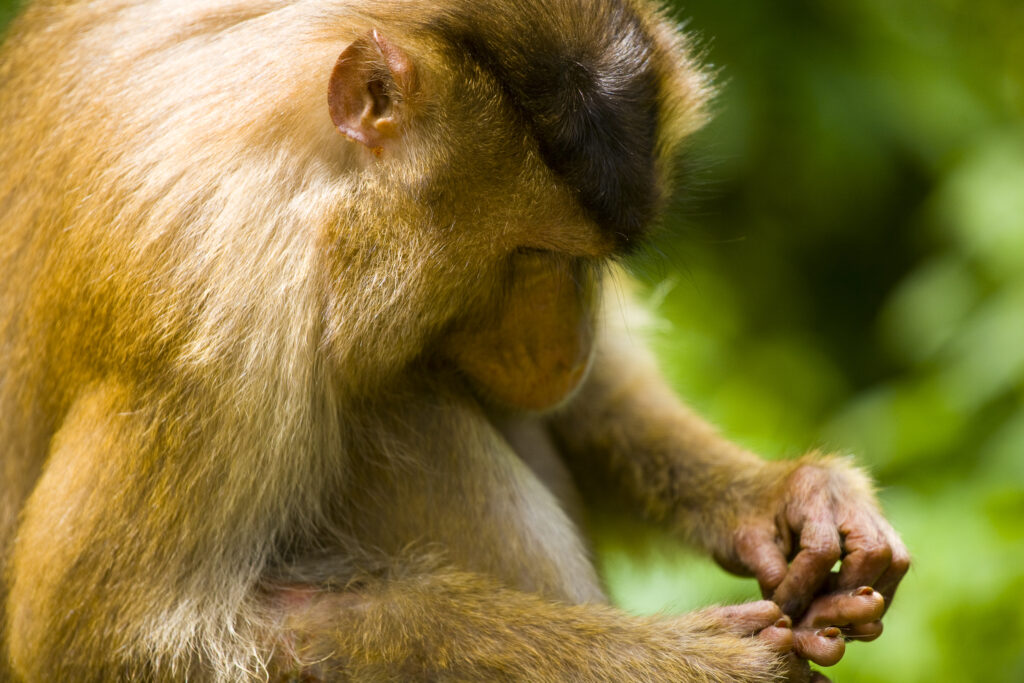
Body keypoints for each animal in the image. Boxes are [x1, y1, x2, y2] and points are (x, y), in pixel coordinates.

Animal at [0, 0, 910, 680]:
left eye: (590, 263)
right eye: (534, 253)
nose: (563, 354)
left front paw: (788, 500)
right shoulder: (209, 324)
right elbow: (105, 639)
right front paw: (683, 663)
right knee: (403, 409)